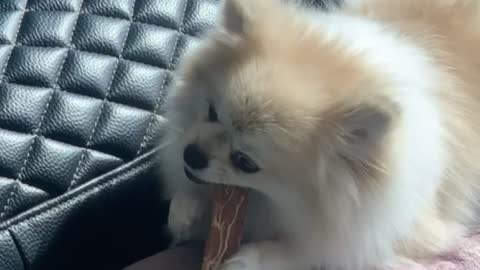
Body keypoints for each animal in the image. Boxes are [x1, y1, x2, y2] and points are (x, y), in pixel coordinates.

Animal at [160, 0, 480, 268]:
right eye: (212, 112)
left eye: (245, 162)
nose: (192, 155)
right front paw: (186, 208)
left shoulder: (404, 230)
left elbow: (321, 250)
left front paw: (253, 258)